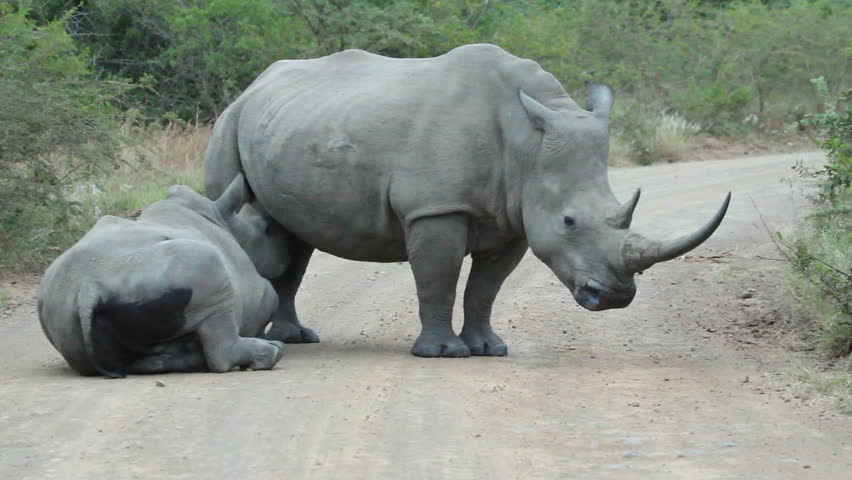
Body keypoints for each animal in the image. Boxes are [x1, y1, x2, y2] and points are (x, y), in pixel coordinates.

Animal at [38, 174, 289, 377]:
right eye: (266, 229)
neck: (221, 218)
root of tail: (88, 288)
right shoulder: (260, 294)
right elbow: (267, 300)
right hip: (168, 270)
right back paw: (272, 351)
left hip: (60, 311)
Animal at [204, 44, 730, 358]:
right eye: (569, 221)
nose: (616, 298)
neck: (527, 142)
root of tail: (254, 85)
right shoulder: (437, 207)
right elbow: (438, 279)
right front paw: (441, 353)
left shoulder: (515, 215)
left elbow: (485, 288)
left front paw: (487, 349)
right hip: (229, 123)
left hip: (289, 123)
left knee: (291, 238)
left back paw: (295, 339)